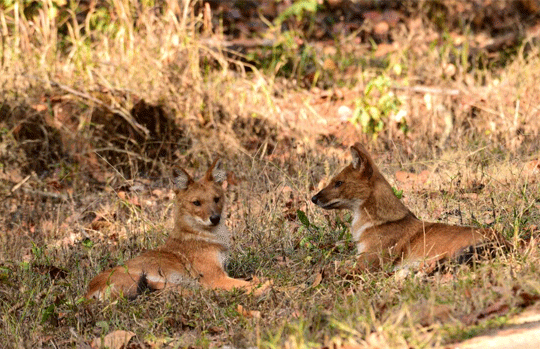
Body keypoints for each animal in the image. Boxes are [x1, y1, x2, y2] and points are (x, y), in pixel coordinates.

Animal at [86, 160, 270, 300]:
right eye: (196, 203)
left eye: (216, 199)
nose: (215, 218)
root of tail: (89, 290)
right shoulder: (216, 278)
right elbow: (251, 283)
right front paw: (267, 285)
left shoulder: (224, 271)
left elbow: (249, 278)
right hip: (145, 279)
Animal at [310, 143, 504, 270]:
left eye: (338, 183)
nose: (313, 198)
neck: (376, 222)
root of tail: (501, 239)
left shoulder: (366, 265)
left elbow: (334, 271)